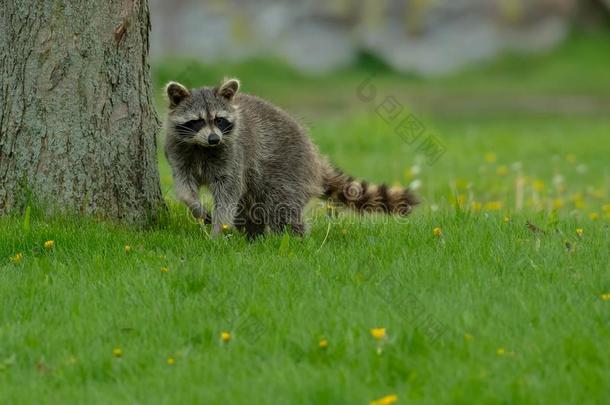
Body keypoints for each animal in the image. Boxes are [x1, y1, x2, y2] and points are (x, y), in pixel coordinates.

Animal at [162, 77, 418, 238]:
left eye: (219, 120)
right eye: (197, 121)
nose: (214, 138)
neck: (201, 146)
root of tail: (313, 154)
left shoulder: (233, 154)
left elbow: (228, 192)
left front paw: (218, 230)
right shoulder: (178, 152)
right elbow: (184, 186)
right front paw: (195, 206)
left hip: (288, 167)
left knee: (280, 207)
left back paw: (295, 238)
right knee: (250, 208)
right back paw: (252, 237)